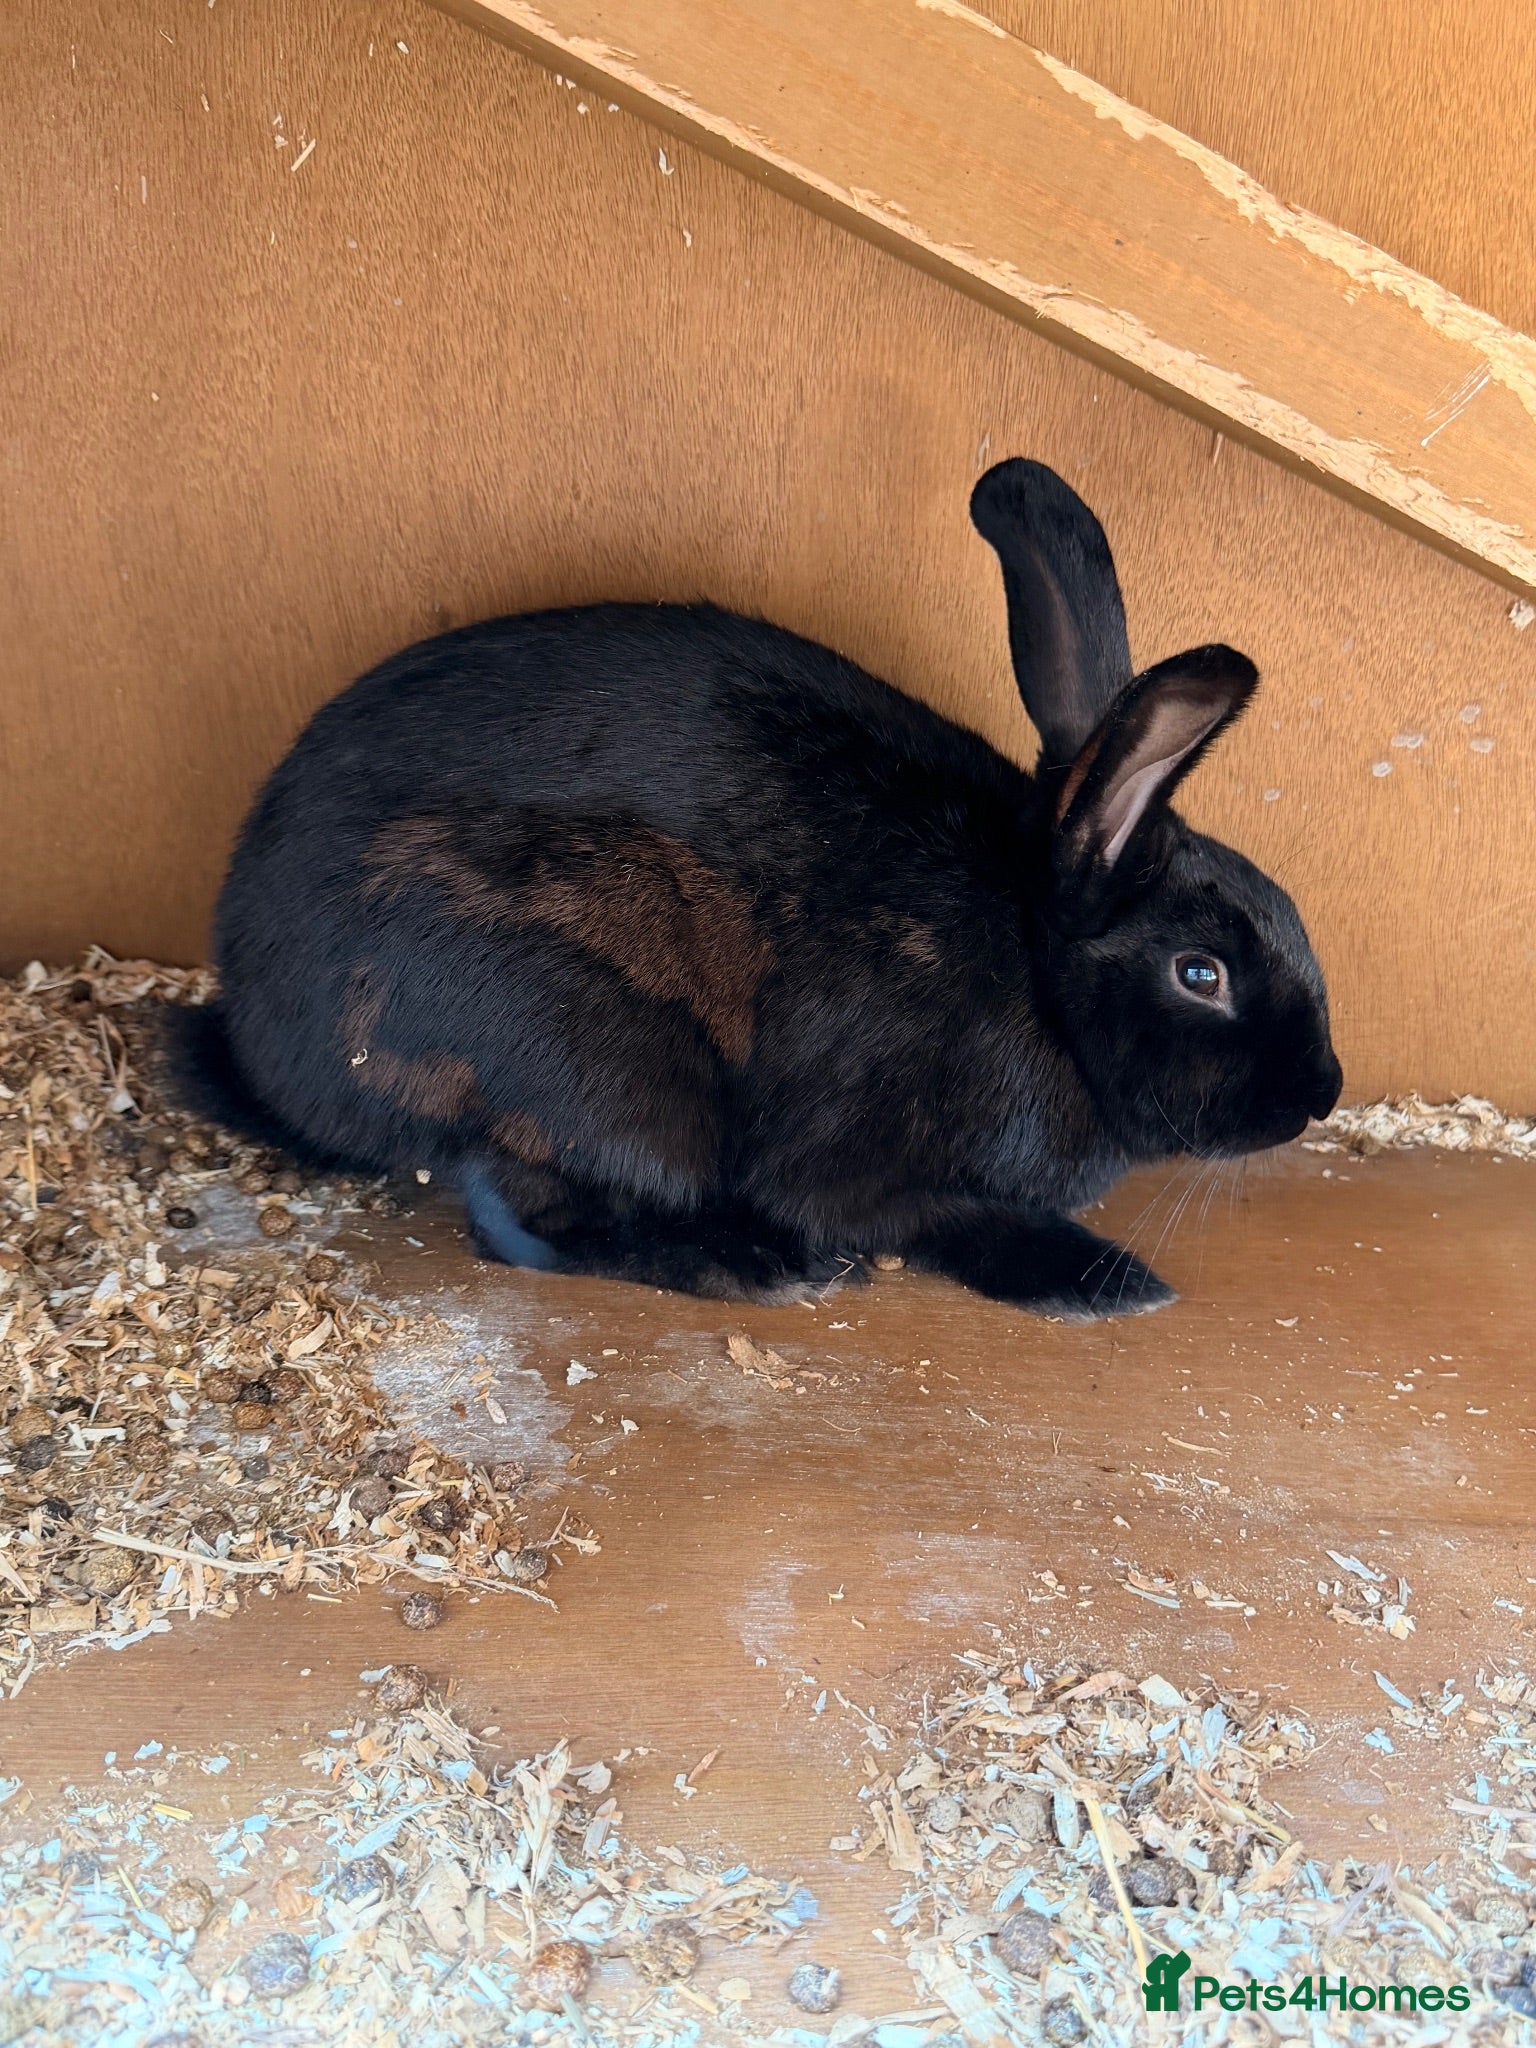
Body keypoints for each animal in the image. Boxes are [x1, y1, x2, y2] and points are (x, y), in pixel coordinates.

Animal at [168, 458, 1342, 1318]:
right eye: (1200, 973)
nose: (1319, 1094)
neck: (1035, 971)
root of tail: (271, 1055)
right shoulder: (866, 1164)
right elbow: (928, 1217)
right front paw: (1106, 1280)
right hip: (593, 1062)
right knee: (528, 1218)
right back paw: (752, 1265)